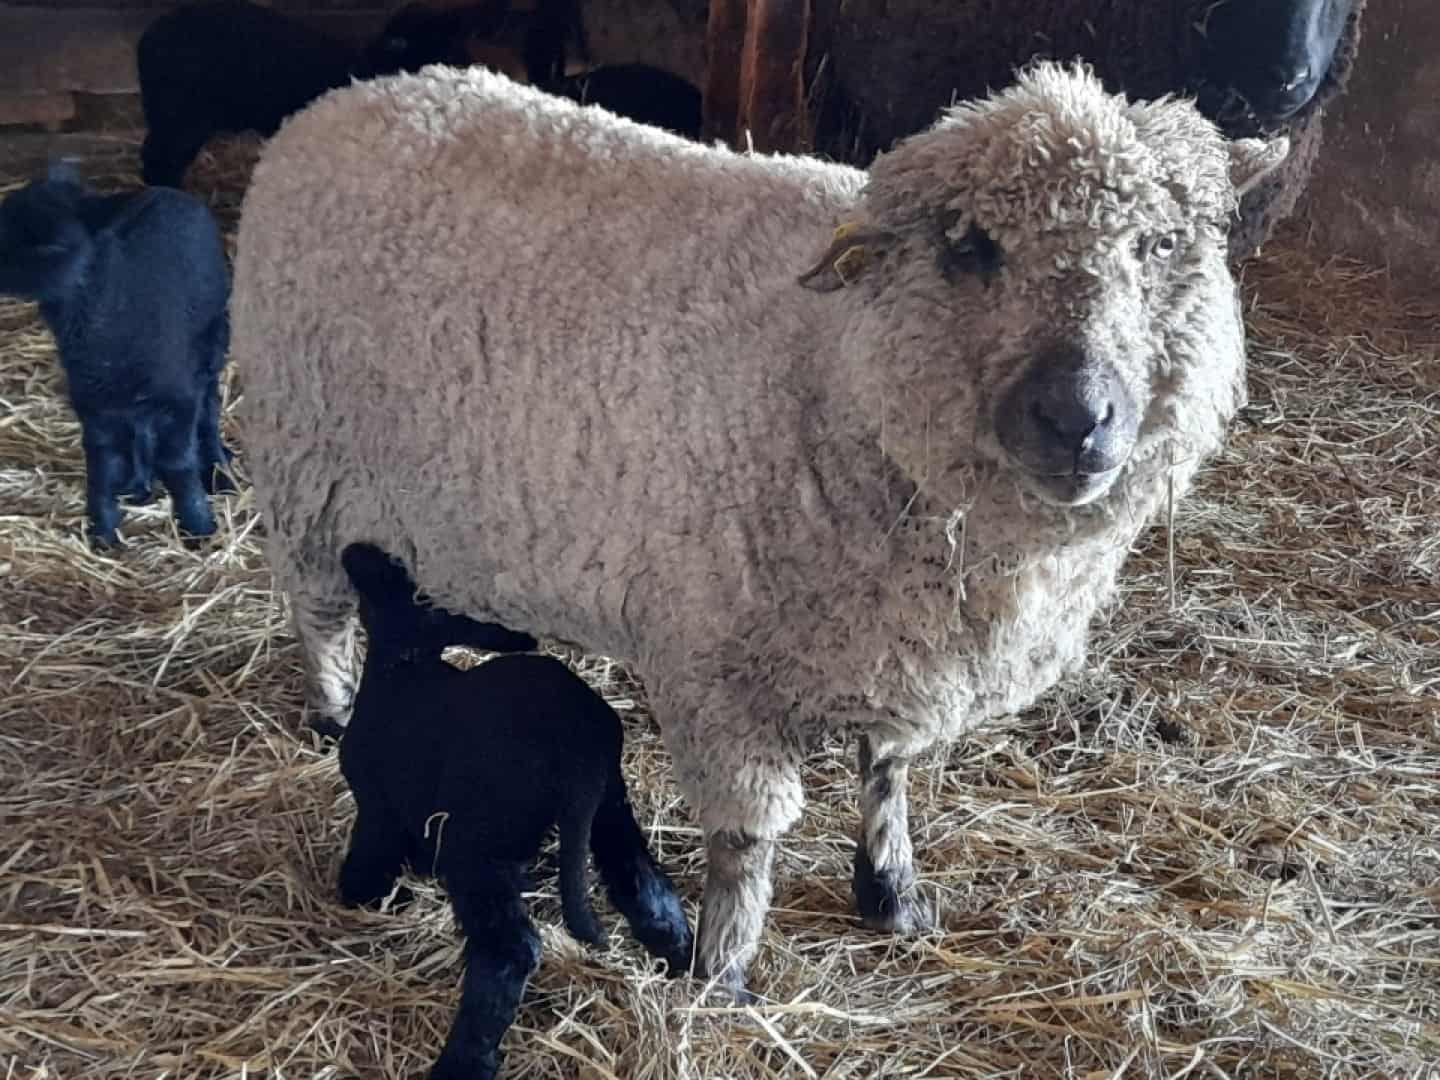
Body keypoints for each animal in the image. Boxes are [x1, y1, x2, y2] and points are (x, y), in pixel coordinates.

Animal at [0, 164, 233, 552]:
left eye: (51, 244)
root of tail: (171, 192)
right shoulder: (93, 404)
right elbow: (101, 464)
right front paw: (103, 533)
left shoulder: (178, 397)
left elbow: (179, 460)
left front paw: (197, 525)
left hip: (212, 341)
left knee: (210, 408)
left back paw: (217, 466)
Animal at [230, 59, 1290, 996]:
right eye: (970, 247)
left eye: (1161, 245)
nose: (1079, 420)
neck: (838, 373)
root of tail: (346, 99)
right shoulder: (720, 673)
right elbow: (747, 836)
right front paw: (722, 967)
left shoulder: (897, 649)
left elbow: (887, 773)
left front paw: (890, 890)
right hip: (304, 467)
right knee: (317, 608)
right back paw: (331, 708)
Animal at [336, 541, 696, 1080]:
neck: (404, 665)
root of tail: (580, 744)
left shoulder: (377, 806)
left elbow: (370, 857)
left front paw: (361, 895)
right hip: (611, 810)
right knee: (651, 896)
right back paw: (709, 979)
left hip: (482, 844)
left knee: (513, 949)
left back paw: (462, 1063)